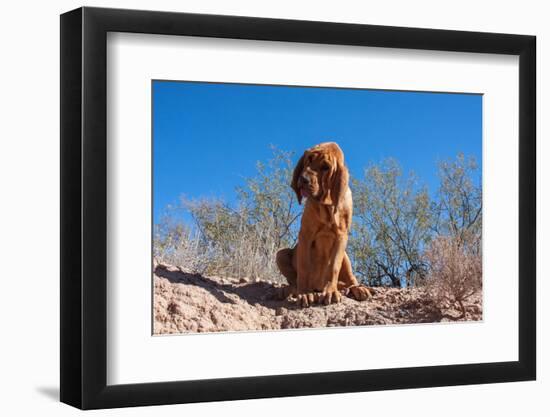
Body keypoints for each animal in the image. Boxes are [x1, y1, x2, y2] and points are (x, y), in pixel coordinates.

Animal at [278, 143, 374, 306]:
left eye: (325, 167)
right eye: (309, 159)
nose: (303, 179)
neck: (326, 205)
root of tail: (317, 286)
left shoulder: (342, 236)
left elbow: (334, 266)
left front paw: (330, 292)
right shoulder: (305, 235)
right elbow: (304, 266)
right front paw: (304, 293)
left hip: (346, 256)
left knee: (350, 280)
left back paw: (357, 289)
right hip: (281, 254)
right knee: (293, 281)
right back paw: (291, 290)